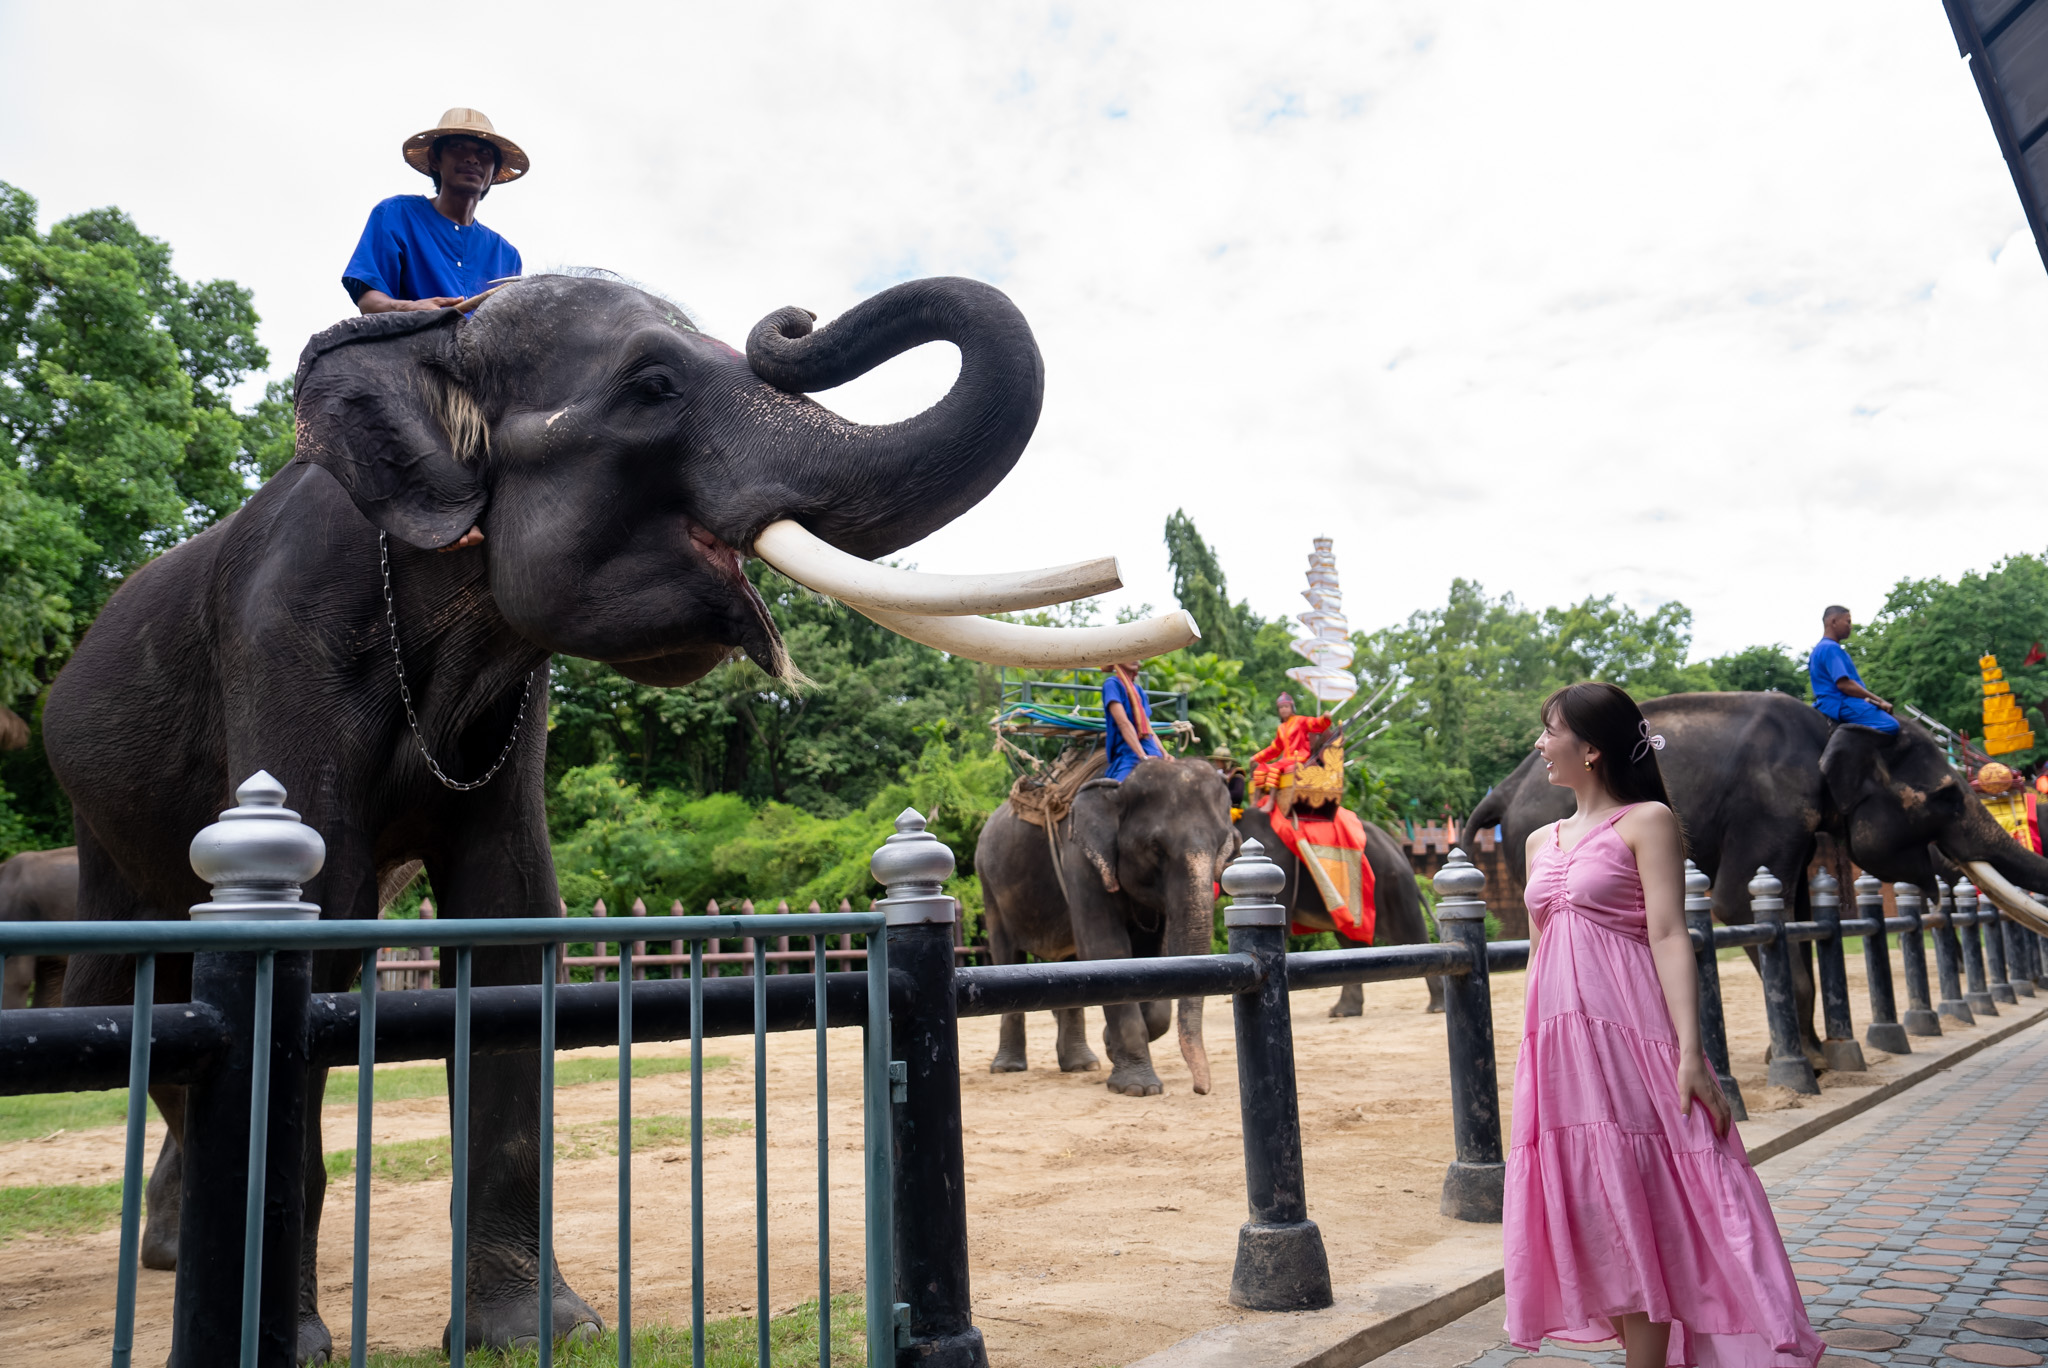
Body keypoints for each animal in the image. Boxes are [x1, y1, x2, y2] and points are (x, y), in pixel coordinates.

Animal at [44, 272, 1089, 1359]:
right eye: (652, 384)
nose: (793, 321)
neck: (437, 350)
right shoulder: (280, 640)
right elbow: (321, 922)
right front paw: (293, 1347)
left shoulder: (511, 711)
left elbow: (509, 930)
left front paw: (536, 1332)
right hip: (100, 819)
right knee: (120, 991)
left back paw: (172, 1254)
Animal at [970, 753, 1228, 1097]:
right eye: (1156, 847)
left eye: (1224, 845)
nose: (1201, 1089)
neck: (1119, 786)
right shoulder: (1079, 858)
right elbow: (1108, 949)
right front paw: (1137, 1088)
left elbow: (1155, 960)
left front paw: (1110, 1045)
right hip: (989, 884)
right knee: (1006, 955)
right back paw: (1008, 1068)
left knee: (1068, 965)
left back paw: (1081, 1065)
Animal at [1220, 810, 1449, 1015]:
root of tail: (1397, 847)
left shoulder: (1282, 864)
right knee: (1352, 944)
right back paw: (1342, 1012)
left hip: (1392, 885)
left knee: (1411, 933)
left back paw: (1437, 1007)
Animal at [1466, 688, 2048, 1064]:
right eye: (1947, 797)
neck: (1830, 729)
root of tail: (1506, 787)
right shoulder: (1770, 801)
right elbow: (1734, 903)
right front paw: (1805, 1064)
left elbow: (1798, 914)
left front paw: (1816, 1054)